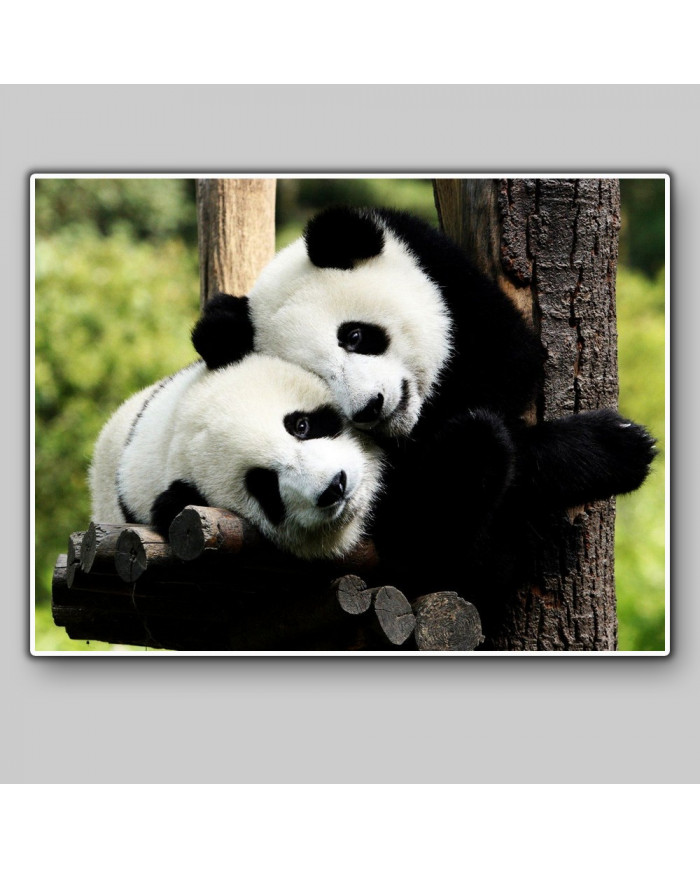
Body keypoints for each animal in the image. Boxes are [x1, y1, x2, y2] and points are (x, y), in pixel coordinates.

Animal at [190, 207, 656, 586]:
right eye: (319, 378)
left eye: (354, 336)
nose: (370, 407)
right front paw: (617, 447)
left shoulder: (450, 283)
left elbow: (511, 365)